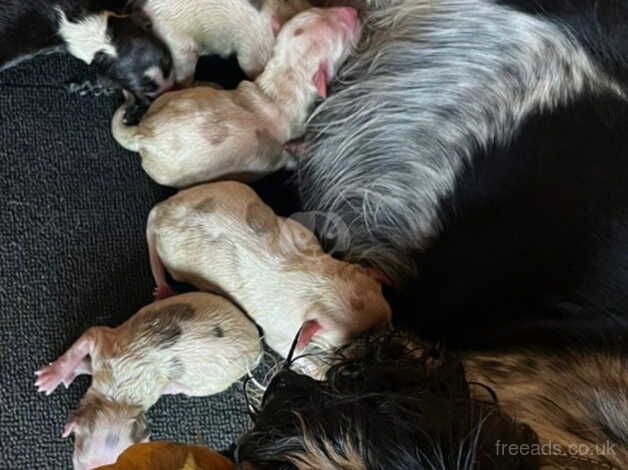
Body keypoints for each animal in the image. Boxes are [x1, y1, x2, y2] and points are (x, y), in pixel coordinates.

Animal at [33, 292, 260, 470]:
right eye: (79, 451)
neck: (120, 398)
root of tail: (257, 348)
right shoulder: (105, 345)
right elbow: (88, 339)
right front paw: (51, 377)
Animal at [146, 182, 392, 358]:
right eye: (344, 345)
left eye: (389, 321)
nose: (382, 344)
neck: (318, 286)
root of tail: (160, 212)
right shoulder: (282, 329)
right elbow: (283, 347)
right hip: (175, 261)